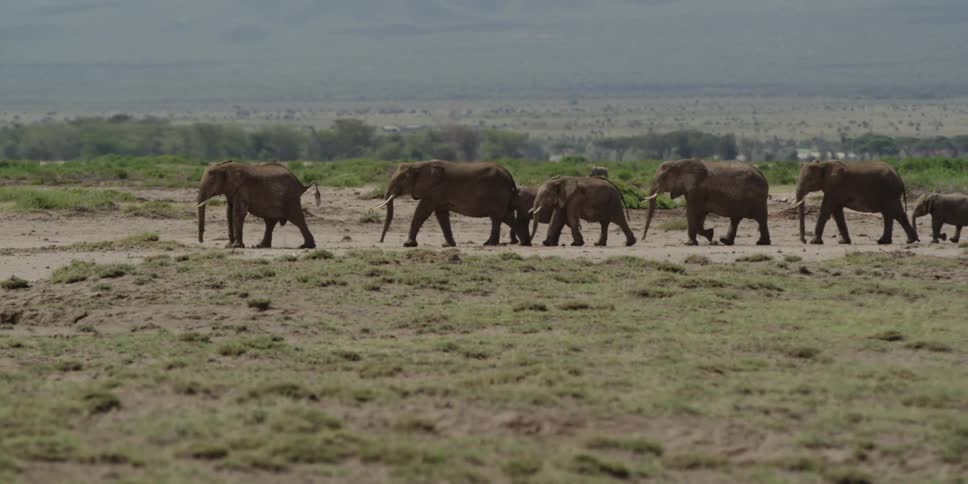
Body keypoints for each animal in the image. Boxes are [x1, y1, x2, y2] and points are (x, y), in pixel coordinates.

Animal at [374, 160, 530, 247]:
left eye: (402, 178)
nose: (380, 241)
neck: (418, 165)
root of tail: (509, 175)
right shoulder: (437, 194)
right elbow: (441, 215)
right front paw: (448, 245)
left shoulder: (434, 190)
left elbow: (422, 212)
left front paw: (408, 245)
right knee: (507, 217)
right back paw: (524, 243)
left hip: (497, 195)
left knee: (497, 218)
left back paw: (490, 244)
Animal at [642, 159, 770, 246]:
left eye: (662, 178)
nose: (643, 239)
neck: (680, 163)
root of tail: (762, 173)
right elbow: (700, 214)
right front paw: (710, 235)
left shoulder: (695, 190)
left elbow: (692, 212)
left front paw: (691, 243)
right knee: (736, 219)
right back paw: (725, 241)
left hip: (756, 198)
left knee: (760, 218)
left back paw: (761, 243)